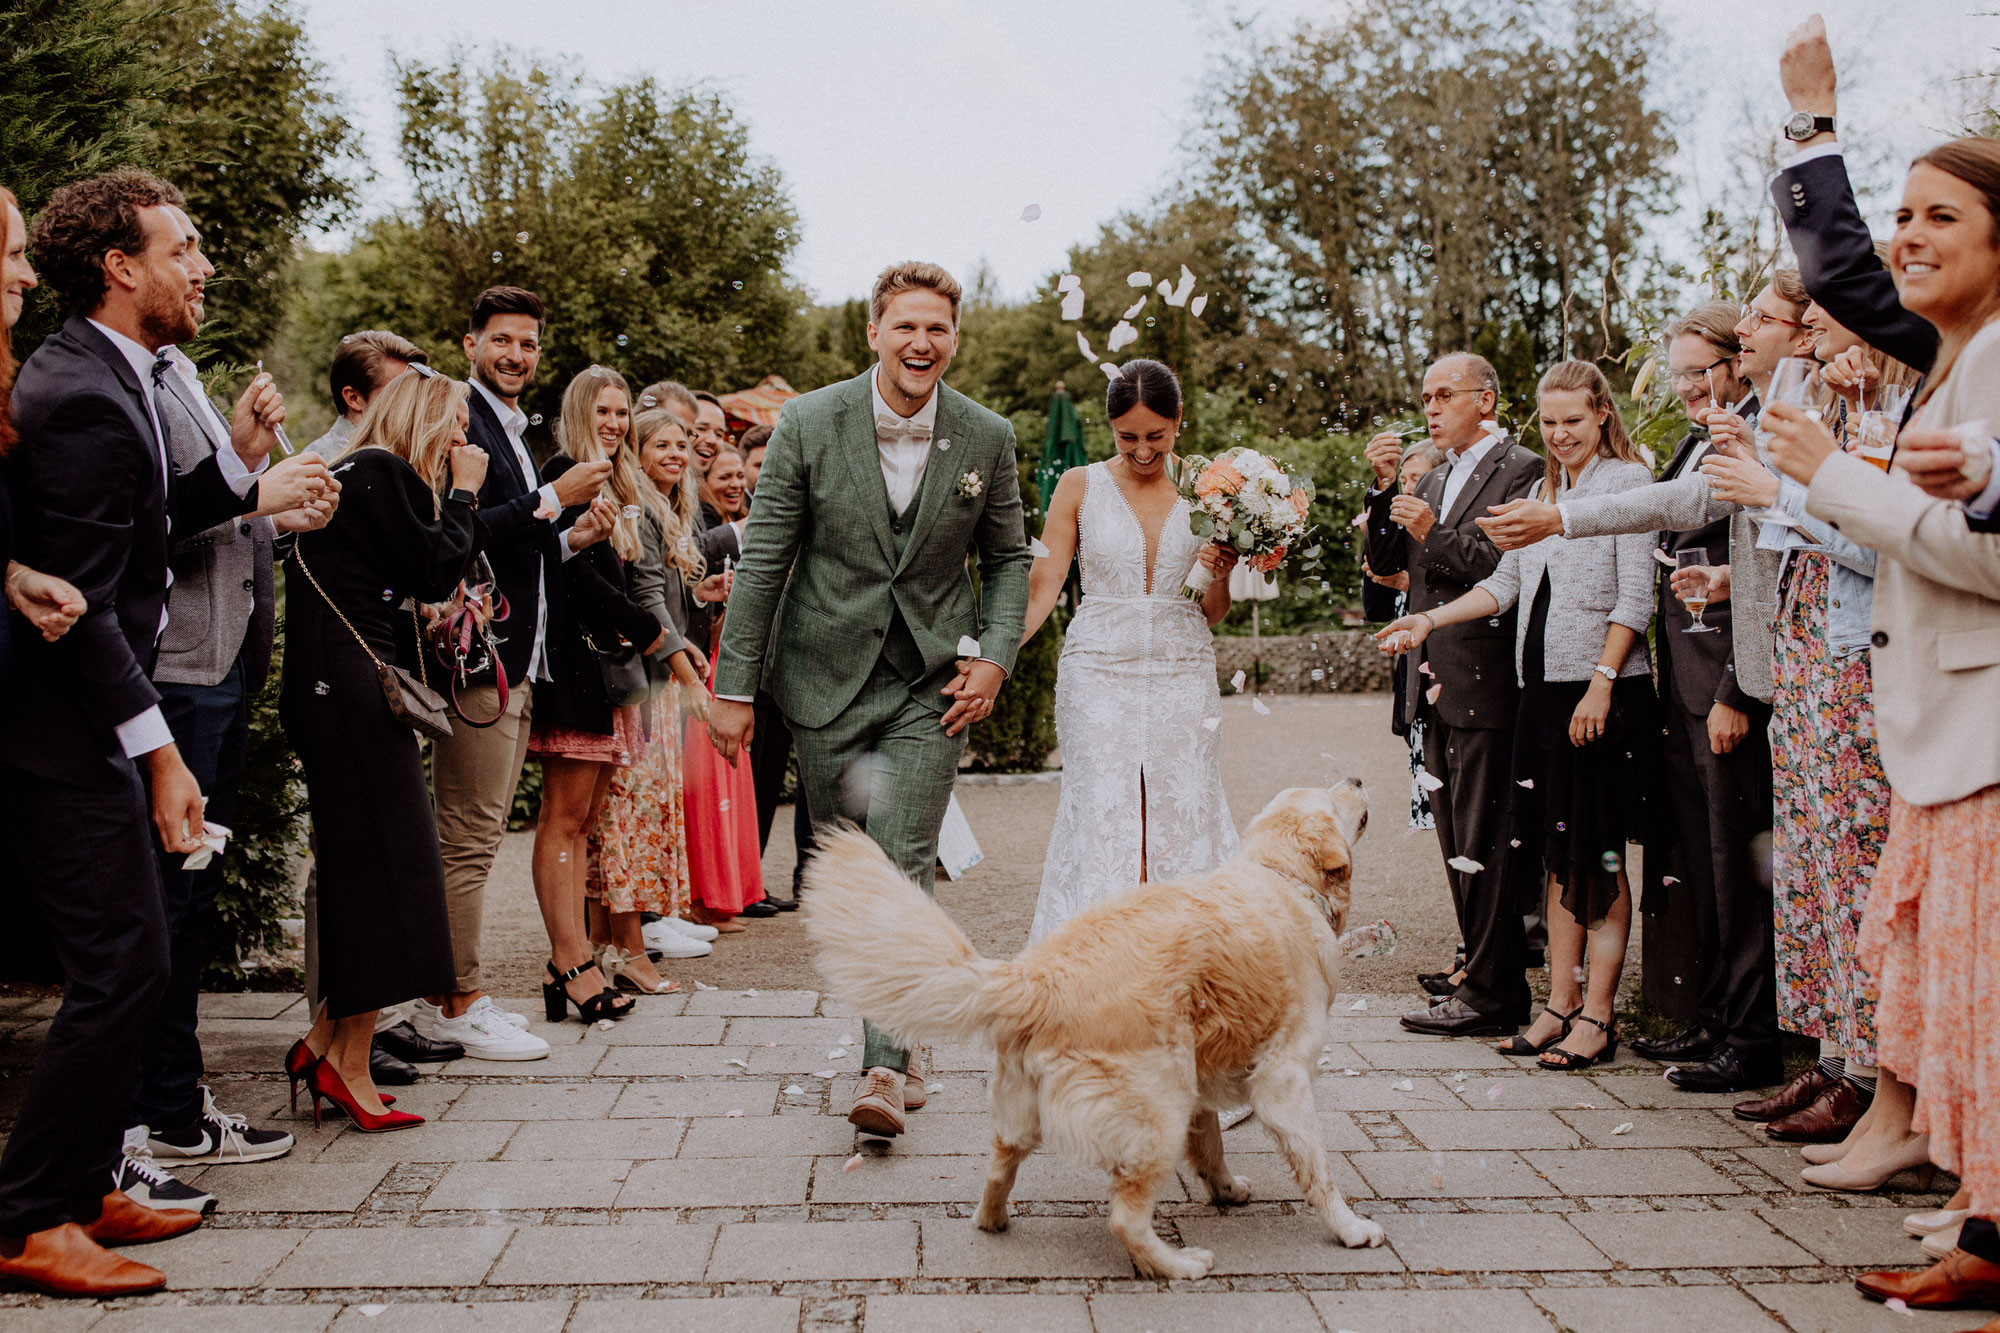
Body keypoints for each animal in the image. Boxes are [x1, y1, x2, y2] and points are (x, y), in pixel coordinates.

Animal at [804, 780, 1384, 1280]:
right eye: (1333, 796)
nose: (1357, 779)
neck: (1283, 877)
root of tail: (1036, 980)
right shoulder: (1284, 1082)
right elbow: (1318, 1170)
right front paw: (1350, 1228)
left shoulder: (1202, 1081)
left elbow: (1212, 1146)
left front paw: (1223, 1189)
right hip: (1158, 1114)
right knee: (1124, 1218)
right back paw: (1178, 1265)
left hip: (1042, 1110)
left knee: (998, 1169)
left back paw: (994, 1221)